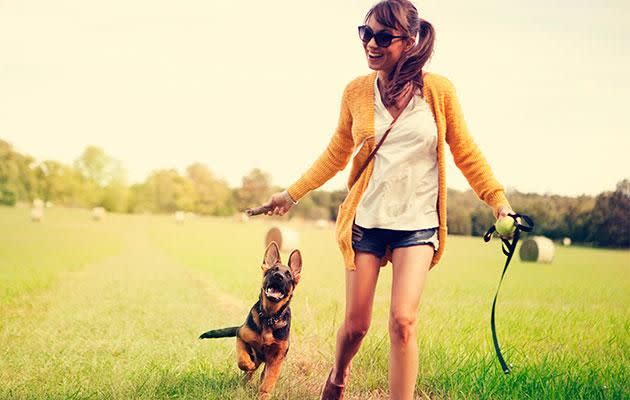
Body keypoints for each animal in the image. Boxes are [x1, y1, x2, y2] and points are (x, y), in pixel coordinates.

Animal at [200, 242, 304, 398]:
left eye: (288, 275)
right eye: (273, 270)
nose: (278, 276)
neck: (269, 318)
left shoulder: (277, 357)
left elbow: (268, 381)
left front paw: (264, 395)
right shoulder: (241, 336)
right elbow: (243, 360)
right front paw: (249, 365)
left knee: (262, 375)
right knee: (248, 373)